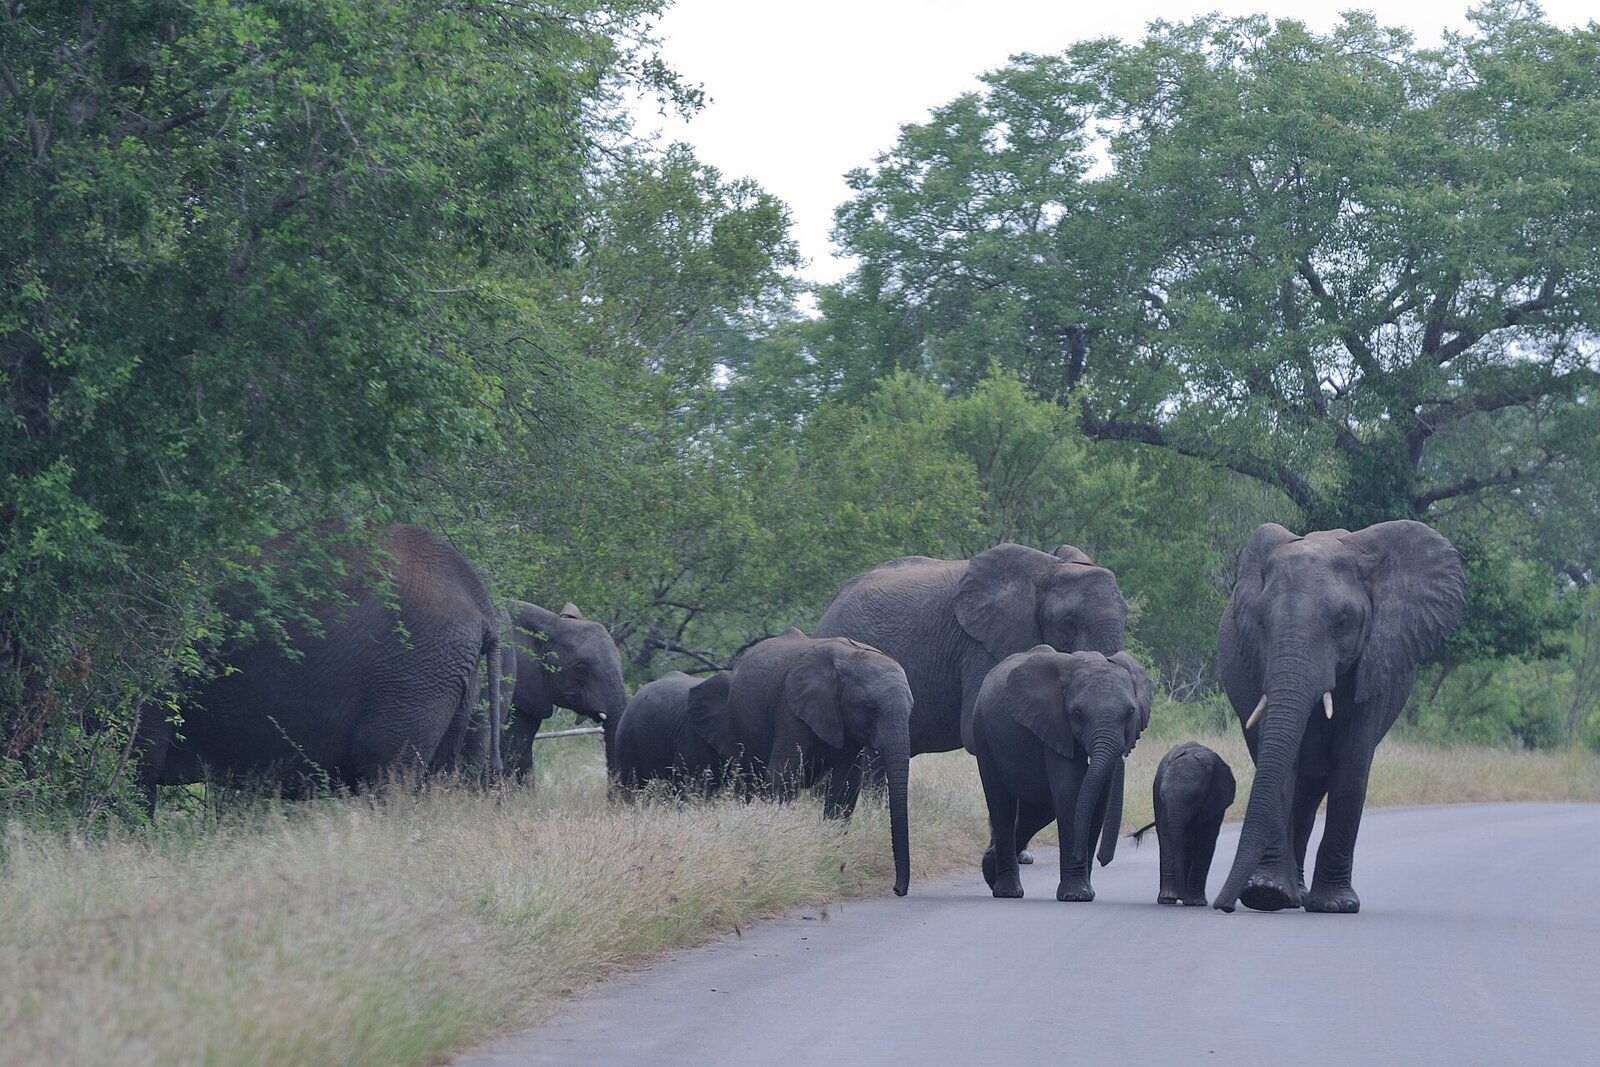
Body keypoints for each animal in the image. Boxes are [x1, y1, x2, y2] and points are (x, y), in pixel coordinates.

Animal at [688, 628, 913, 896]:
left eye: (912, 708)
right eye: (869, 707)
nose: (897, 890)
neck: (848, 660)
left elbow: (845, 785)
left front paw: (831, 849)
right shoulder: (789, 706)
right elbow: (784, 776)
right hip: (739, 722)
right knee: (749, 780)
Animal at [967, 647, 1152, 901]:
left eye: (1131, 712)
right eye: (1077, 714)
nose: (1103, 859)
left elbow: (1097, 801)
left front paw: (1086, 893)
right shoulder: (1055, 725)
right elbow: (1070, 793)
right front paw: (1077, 895)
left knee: (1037, 812)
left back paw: (989, 870)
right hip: (983, 733)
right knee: (1002, 805)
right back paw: (1007, 891)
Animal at [1129, 741, 1236, 906]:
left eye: (1196, 797)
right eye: (1162, 795)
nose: (1181, 894)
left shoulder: (1214, 798)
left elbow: (1205, 839)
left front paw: (1195, 902)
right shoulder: (1161, 803)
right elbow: (1166, 834)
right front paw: (1168, 899)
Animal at [1213, 520, 1465, 914]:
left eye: (1343, 621)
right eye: (1262, 623)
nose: (1220, 904)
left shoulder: (1376, 664)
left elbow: (1352, 767)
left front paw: (1335, 905)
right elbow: (1280, 763)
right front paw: (1267, 894)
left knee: (1314, 787)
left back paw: (1301, 895)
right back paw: (1290, 895)